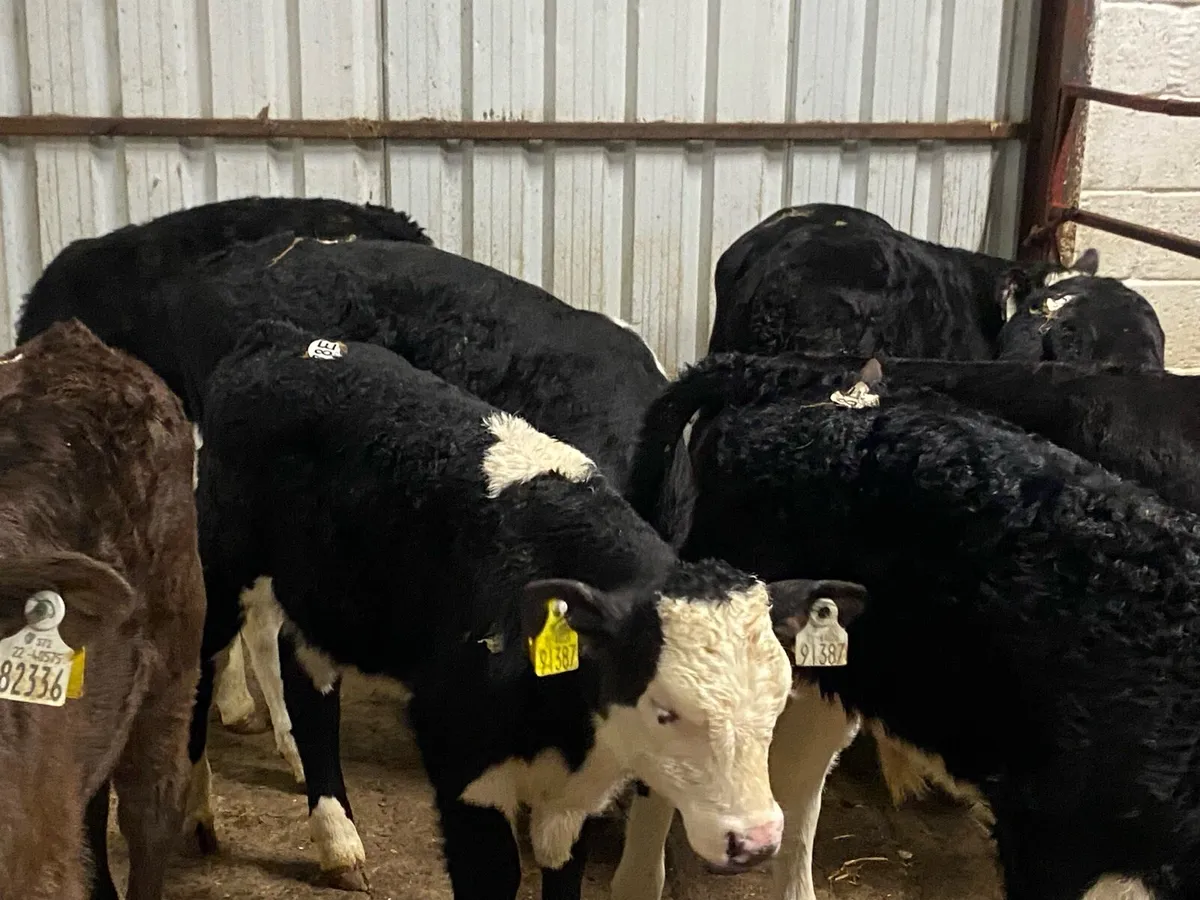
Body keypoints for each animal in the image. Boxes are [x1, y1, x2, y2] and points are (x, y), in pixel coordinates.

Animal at [187, 319, 824, 897]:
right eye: (665, 711)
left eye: (775, 709)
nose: (756, 841)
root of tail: (278, 338)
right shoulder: (462, 758)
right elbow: (494, 876)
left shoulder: (576, 796)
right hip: (220, 567)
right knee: (201, 671)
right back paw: (197, 814)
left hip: (327, 603)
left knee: (307, 684)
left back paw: (338, 842)